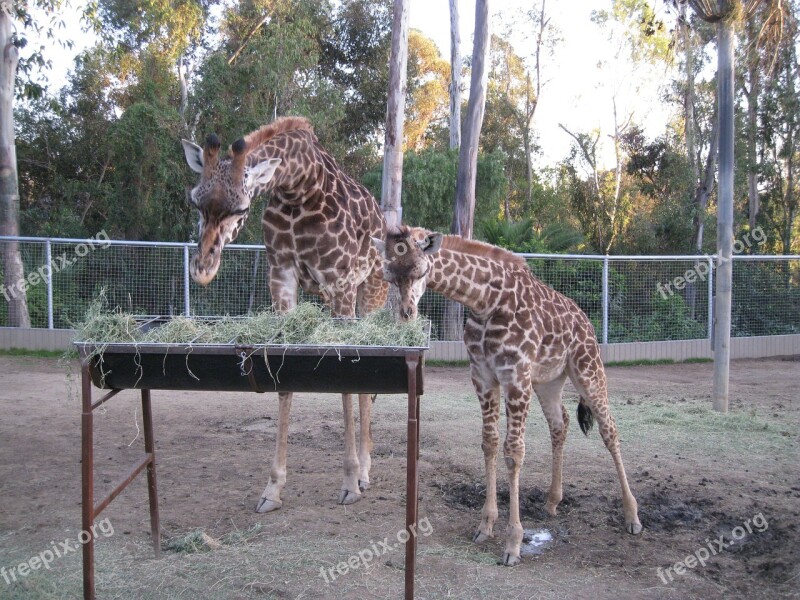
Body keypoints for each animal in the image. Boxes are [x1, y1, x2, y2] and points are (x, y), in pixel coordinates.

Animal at [184, 116, 390, 510]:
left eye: (240, 209)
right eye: (195, 201)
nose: (202, 269)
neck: (299, 187)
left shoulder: (339, 282)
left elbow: (346, 382)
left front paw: (349, 482)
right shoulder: (280, 275)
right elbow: (283, 380)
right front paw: (273, 489)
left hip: (370, 293)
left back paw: (365, 471)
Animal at [376, 227, 644, 564]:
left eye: (421, 270)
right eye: (387, 274)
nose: (406, 315)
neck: (484, 302)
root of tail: (586, 321)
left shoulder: (515, 375)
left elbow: (514, 451)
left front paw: (513, 542)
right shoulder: (482, 376)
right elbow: (489, 443)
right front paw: (485, 525)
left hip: (588, 369)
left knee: (610, 430)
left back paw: (632, 516)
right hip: (548, 381)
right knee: (560, 423)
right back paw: (552, 501)